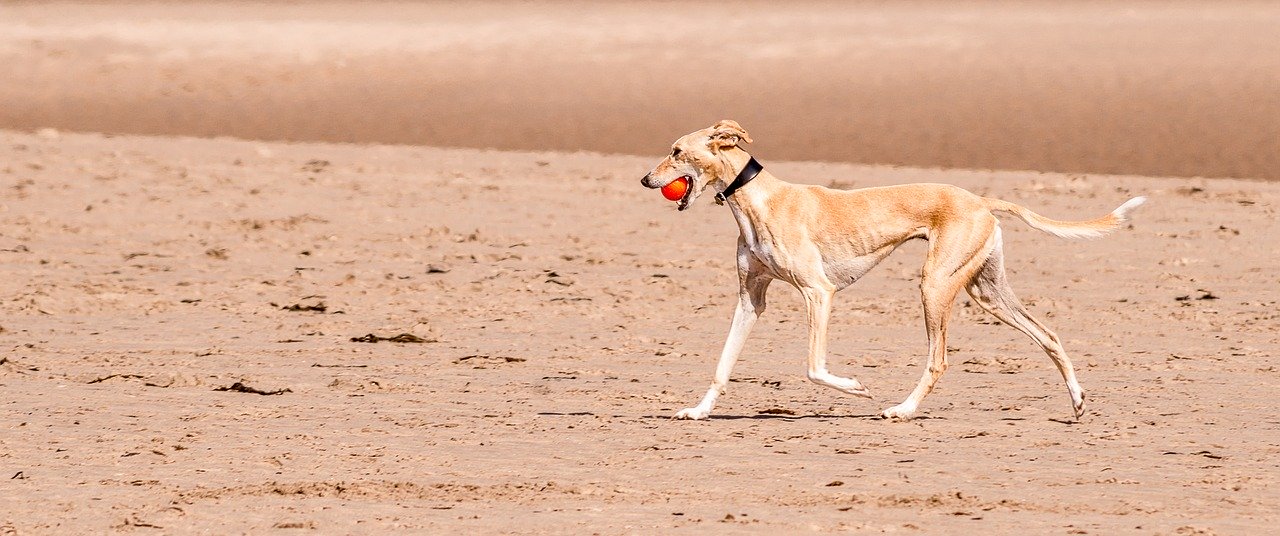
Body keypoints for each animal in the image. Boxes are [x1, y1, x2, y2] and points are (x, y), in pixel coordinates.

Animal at [640, 119, 1152, 422]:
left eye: (676, 151)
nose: (645, 179)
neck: (758, 200)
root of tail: (980, 200)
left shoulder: (818, 292)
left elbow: (813, 367)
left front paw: (856, 388)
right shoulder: (751, 300)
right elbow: (722, 364)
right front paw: (698, 411)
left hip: (936, 285)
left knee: (939, 359)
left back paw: (902, 409)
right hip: (985, 291)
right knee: (1048, 334)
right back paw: (1077, 400)